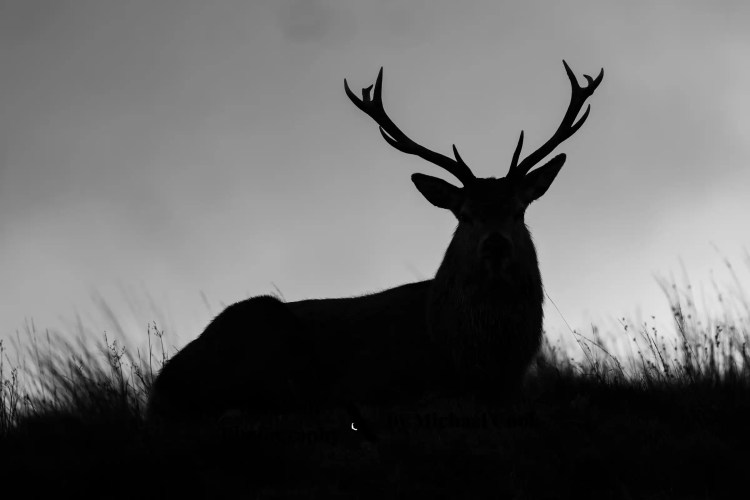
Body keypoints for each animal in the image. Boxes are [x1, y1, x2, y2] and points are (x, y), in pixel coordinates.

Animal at [147, 61, 603, 436]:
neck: (471, 352)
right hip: (264, 333)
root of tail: (160, 384)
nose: (495, 243)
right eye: (465, 214)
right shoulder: (391, 379)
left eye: (518, 210)